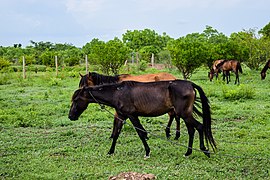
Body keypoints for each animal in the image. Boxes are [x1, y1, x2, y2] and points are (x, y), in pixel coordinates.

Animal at [68, 80, 216, 158]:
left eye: (76, 100)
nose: (71, 116)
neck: (117, 93)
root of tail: (190, 84)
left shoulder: (132, 116)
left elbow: (140, 133)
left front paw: (147, 152)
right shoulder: (121, 116)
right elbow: (116, 134)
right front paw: (110, 151)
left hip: (184, 114)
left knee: (199, 127)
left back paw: (204, 150)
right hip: (186, 115)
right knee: (192, 130)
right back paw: (188, 152)